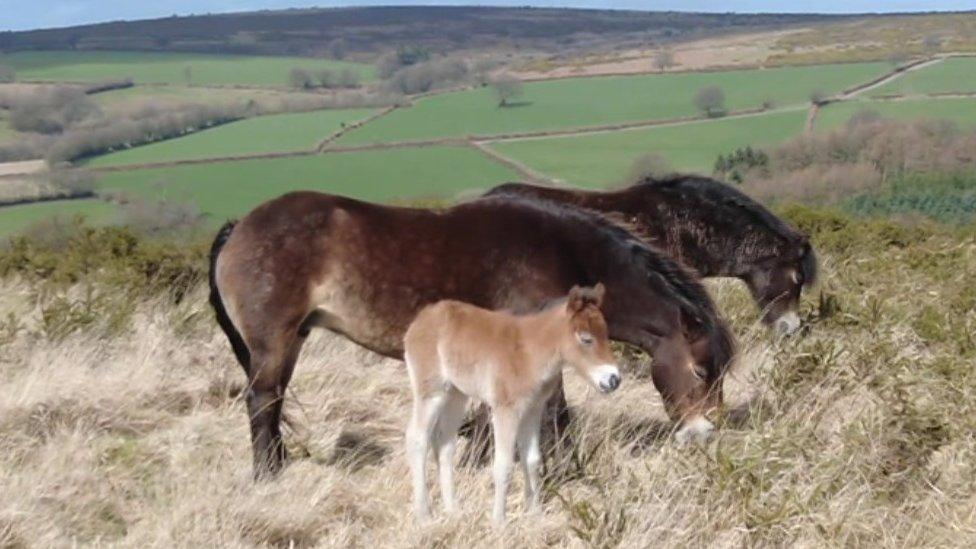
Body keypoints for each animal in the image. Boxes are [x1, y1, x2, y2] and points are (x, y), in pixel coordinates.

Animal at [212, 191, 732, 478]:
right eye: (700, 370)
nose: (705, 434)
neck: (559, 252)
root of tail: (241, 225)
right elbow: (556, 415)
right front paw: (568, 470)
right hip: (275, 341)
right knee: (263, 401)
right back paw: (268, 475)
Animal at [406, 282, 620, 524]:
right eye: (585, 339)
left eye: (606, 334)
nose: (614, 379)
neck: (529, 352)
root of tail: (422, 318)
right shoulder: (505, 410)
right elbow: (504, 465)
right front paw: (499, 522)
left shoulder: (533, 410)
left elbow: (532, 460)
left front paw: (535, 515)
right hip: (431, 392)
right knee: (416, 439)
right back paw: (424, 514)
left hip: (456, 395)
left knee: (445, 444)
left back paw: (453, 511)